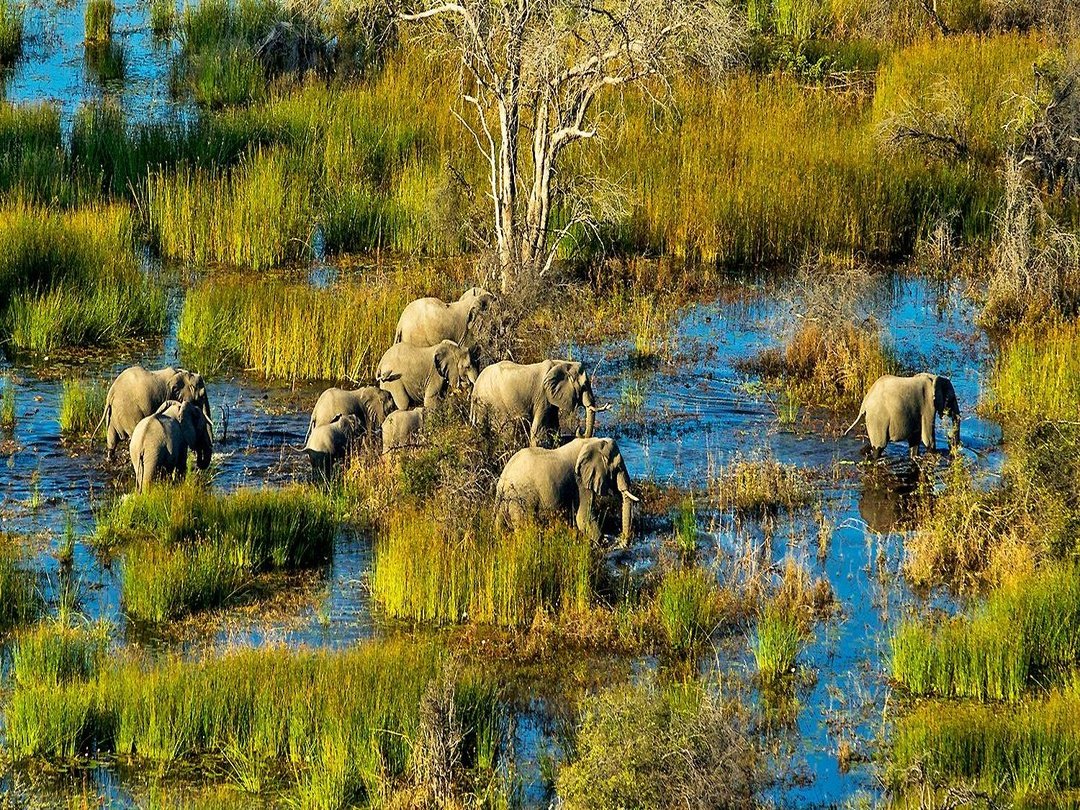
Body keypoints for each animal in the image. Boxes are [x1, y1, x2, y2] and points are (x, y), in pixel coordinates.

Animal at [471, 359, 604, 447]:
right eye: (584, 385)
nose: (579, 430)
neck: (562, 363)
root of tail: (475, 387)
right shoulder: (542, 396)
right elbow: (538, 429)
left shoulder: (551, 398)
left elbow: (554, 426)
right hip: (494, 401)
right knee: (504, 430)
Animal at [495, 437, 639, 545]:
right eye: (618, 467)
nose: (622, 540)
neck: (592, 441)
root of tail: (502, 483)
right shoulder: (580, 482)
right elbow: (583, 518)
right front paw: (605, 543)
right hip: (521, 501)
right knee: (524, 528)